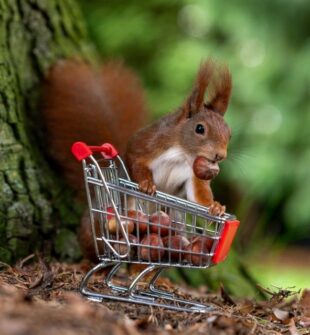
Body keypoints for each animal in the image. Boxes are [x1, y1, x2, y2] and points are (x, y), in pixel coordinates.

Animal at [42, 59, 232, 262]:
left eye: (229, 134)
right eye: (199, 129)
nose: (220, 155)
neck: (182, 154)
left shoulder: (193, 175)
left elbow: (198, 194)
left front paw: (215, 206)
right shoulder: (147, 143)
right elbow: (136, 159)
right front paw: (147, 184)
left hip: (176, 219)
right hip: (99, 224)